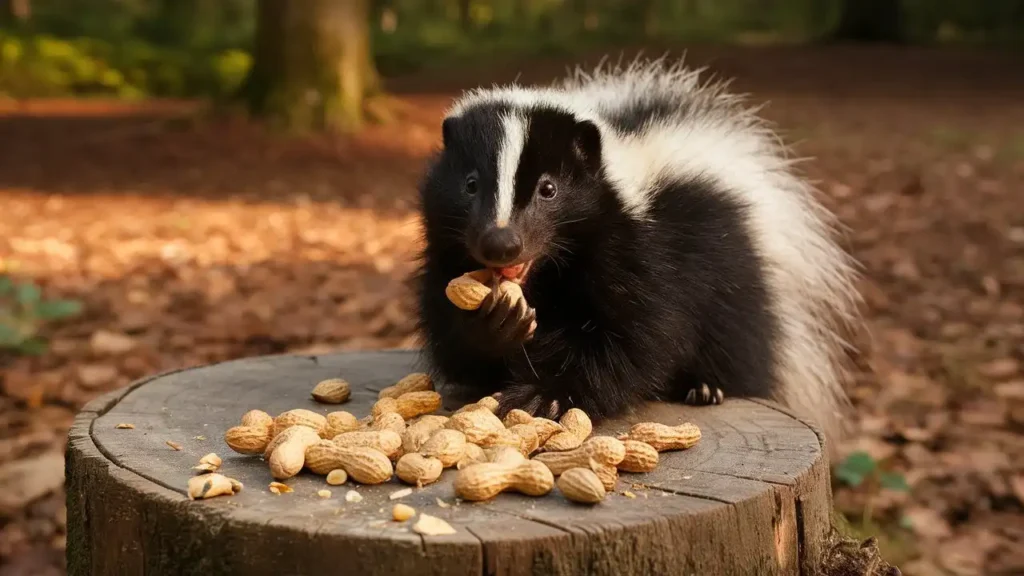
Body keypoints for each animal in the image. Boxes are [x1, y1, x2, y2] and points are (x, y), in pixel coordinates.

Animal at [411, 56, 860, 444]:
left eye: (549, 189)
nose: (501, 242)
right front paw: (496, 323)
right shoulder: (445, 257)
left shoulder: (644, 254)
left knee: (741, 340)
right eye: (470, 184)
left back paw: (705, 386)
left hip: (734, 270)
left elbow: (635, 339)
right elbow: (455, 345)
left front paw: (543, 395)